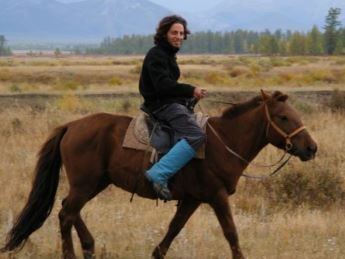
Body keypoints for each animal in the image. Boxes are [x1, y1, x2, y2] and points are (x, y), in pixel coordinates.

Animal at [1, 90, 316, 258]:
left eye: (295, 114)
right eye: (283, 117)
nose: (311, 148)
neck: (224, 140)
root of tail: (70, 126)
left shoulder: (192, 199)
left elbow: (173, 229)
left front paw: (156, 253)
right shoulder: (216, 196)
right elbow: (231, 233)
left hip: (93, 183)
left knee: (69, 209)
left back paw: (89, 246)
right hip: (85, 183)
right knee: (66, 214)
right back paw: (74, 252)